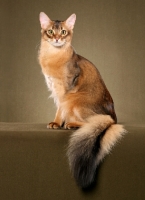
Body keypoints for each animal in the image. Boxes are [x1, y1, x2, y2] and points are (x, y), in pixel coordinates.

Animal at [38, 11, 125, 188]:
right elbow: (59, 107)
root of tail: (114, 118)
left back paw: (71, 124)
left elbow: (61, 107)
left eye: (63, 32)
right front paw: (56, 122)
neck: (53, 56)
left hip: (76, 100)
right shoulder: (54, 88)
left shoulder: (66, 89)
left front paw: (58, 123)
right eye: (50, 31)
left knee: (92, 121)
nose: (57, 39)